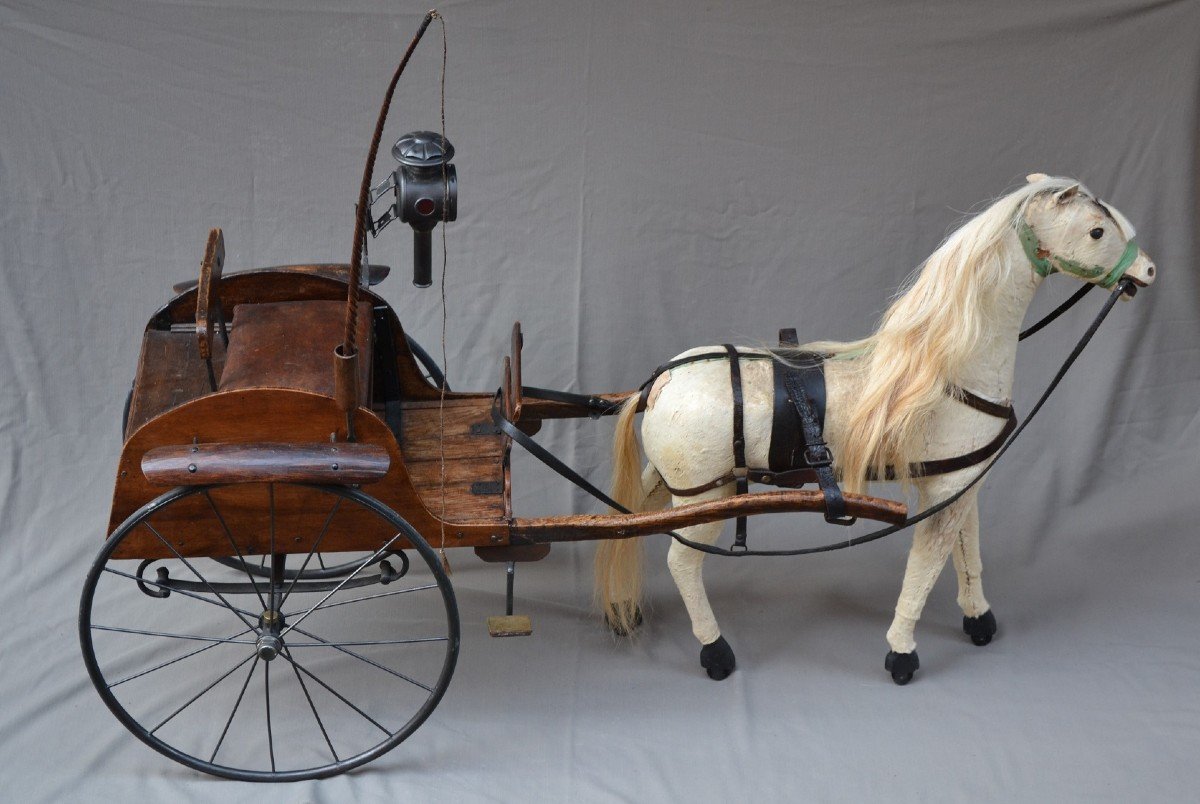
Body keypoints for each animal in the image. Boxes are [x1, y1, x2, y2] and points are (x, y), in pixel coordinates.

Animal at [595, 176, 1156, 686]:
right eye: (1096, 231)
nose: (1148, 270)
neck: (945, 367)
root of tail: (660, 381)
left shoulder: (960, 484)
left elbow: (968, 554)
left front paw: (979, 618)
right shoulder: (943, 492)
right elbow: (925, 570)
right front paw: (902, 651)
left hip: (670, 482)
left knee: (629, 523)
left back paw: (623, 605)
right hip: (705, 496)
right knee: (681, 563)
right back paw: (715, 650)